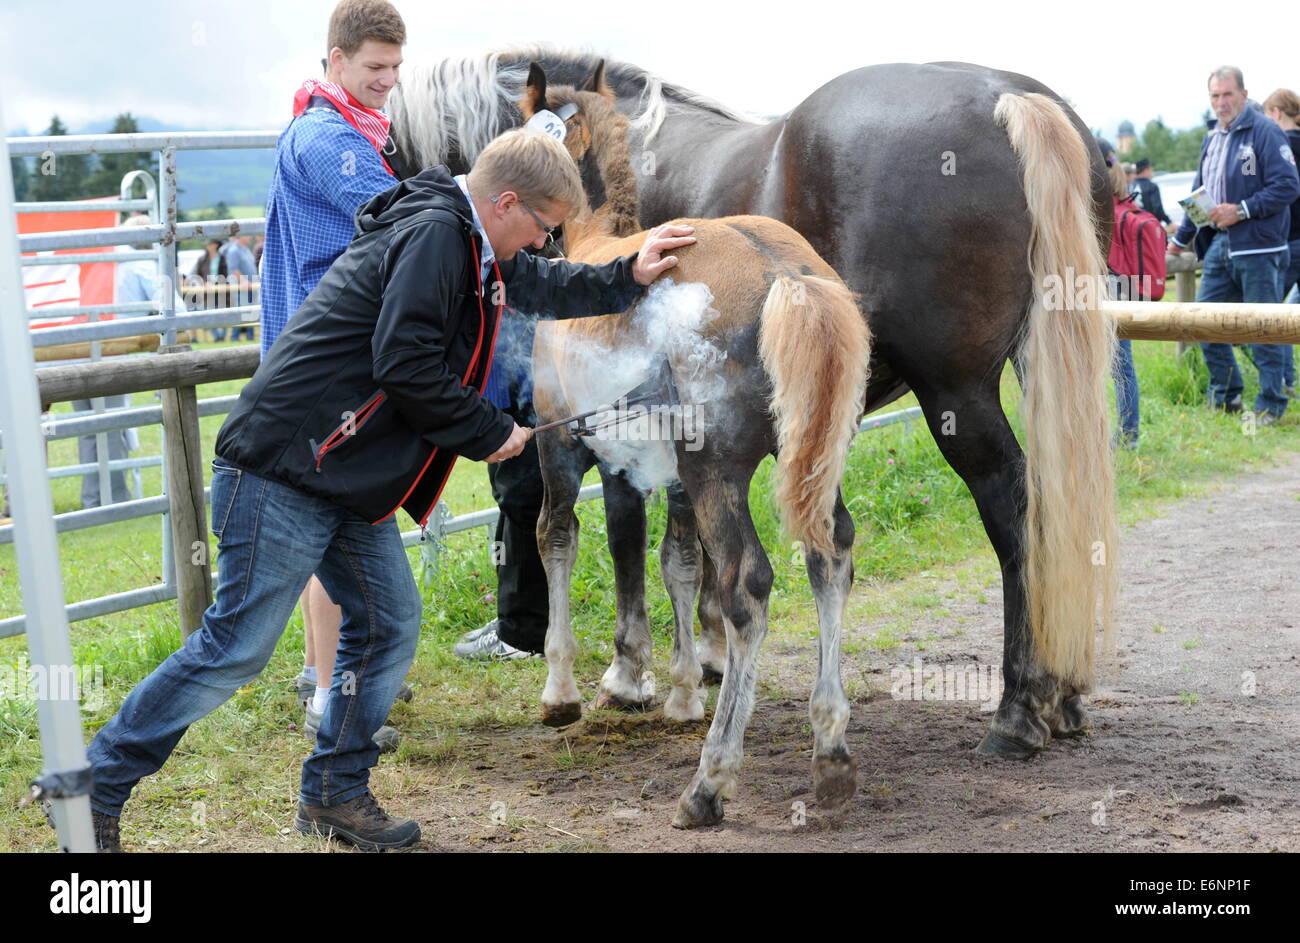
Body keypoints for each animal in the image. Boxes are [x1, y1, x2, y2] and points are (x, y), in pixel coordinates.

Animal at [387, 49, 1118, 759]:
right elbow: (685, 556)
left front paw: (625, 674)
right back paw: (1058, 699)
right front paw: (699, 666)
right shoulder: (670, 451)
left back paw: (1017, 711)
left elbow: (612, 540)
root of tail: (1009, 96)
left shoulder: (603, 440)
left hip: (953, 394)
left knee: (1012, 506)